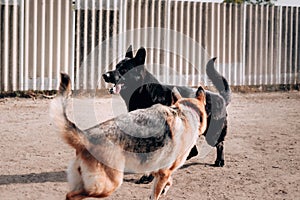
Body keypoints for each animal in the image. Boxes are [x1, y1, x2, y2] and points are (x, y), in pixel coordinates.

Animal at [102, 45, 231, 173]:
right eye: (116, 66)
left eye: (124, 69)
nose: (105, 75)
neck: (144, 91)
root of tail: (221, 97)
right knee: (194, 150)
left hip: (212, 135)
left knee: (220, 144)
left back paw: (220, 160)